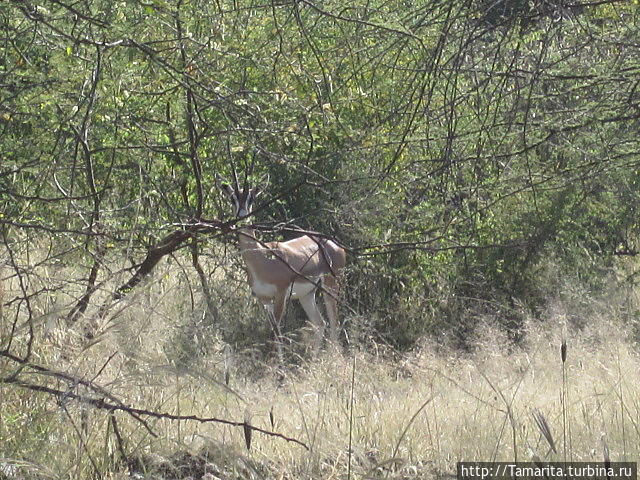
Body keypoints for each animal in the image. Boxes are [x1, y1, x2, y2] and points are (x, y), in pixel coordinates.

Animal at [219, 178, 344, 354]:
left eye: (251, 198)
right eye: (232, 198)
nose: (242, 216)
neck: (262, 259)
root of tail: (334, 244)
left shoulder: (280, 295)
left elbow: (277, 335)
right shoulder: (264, 300)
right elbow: (273, 331)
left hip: (331, 287)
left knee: (334, 323)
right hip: (307, 295)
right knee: (320, 323)